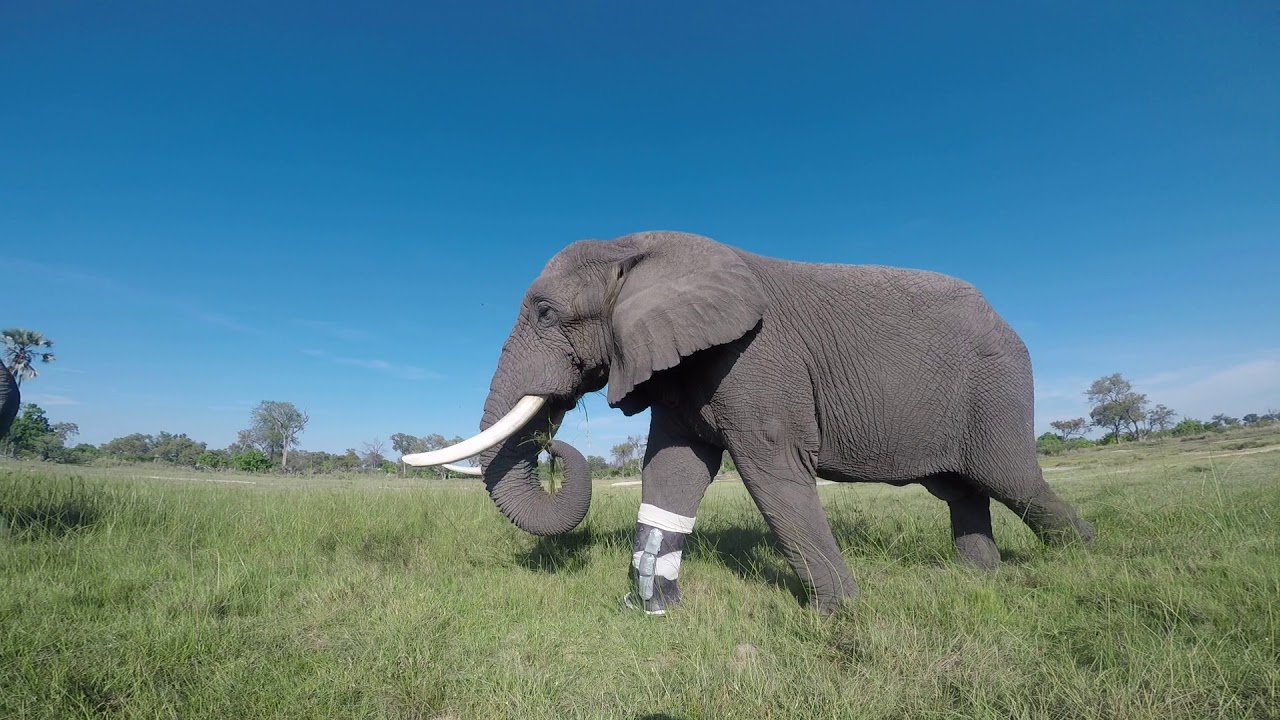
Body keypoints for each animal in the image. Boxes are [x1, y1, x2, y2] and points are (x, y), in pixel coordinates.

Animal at [405, 231, 1095, 614]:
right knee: (961, 489)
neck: (635, 248)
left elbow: (773, 474)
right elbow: (673, 473)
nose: (554, 445)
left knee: (1011, 479)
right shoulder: (682, 364)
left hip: (998, 385)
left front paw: (835, 616)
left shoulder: (755, 359)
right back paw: (978, 579)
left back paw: (1087, 558)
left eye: (546, 312)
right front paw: (654, 610)